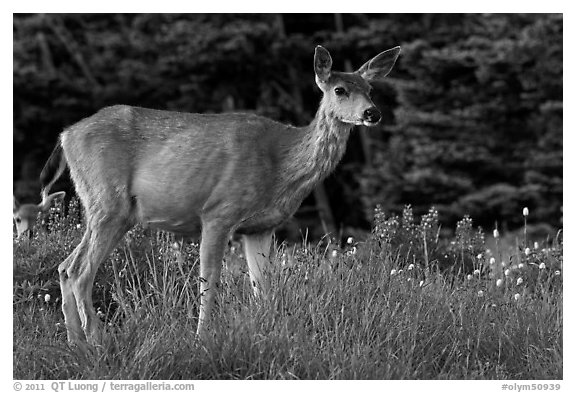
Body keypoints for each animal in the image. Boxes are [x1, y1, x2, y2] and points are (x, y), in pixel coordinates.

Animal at [40, 43, 400, 344]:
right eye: (340, 89)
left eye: (370, 89)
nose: (372, 113)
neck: (281, 165)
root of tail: (65, 135)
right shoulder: (218, 212)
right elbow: (209, 282)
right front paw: (202, 340)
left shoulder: (260, 227)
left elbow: (262, 287)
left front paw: (268, 332)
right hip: (108, 201)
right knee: (79, 270)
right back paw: (97, 341)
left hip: (108, 209)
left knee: (64, 267)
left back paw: (76, 344)